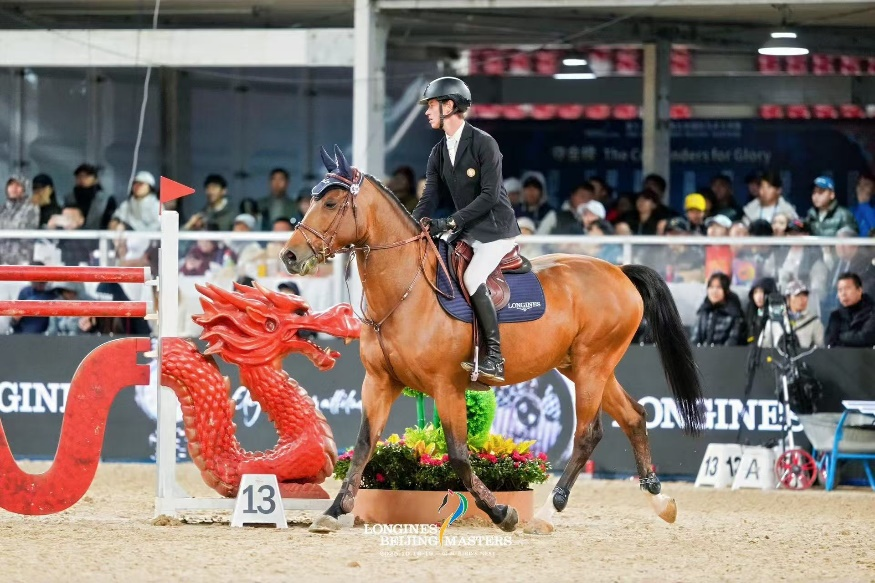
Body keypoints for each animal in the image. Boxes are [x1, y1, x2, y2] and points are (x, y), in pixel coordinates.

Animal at [281, 145, 705, 535]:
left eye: (331, 202)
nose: (289, 256)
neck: (405, 291)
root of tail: (619, 271)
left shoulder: (446, 386)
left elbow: (457, 456)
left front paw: (503, 512)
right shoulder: (380, 382)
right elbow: (364, 446)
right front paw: (334, 510)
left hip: (591, 366)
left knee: (588, 434)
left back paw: (548, 512)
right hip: (584, 366)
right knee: (634, 416)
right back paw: (661, 501)